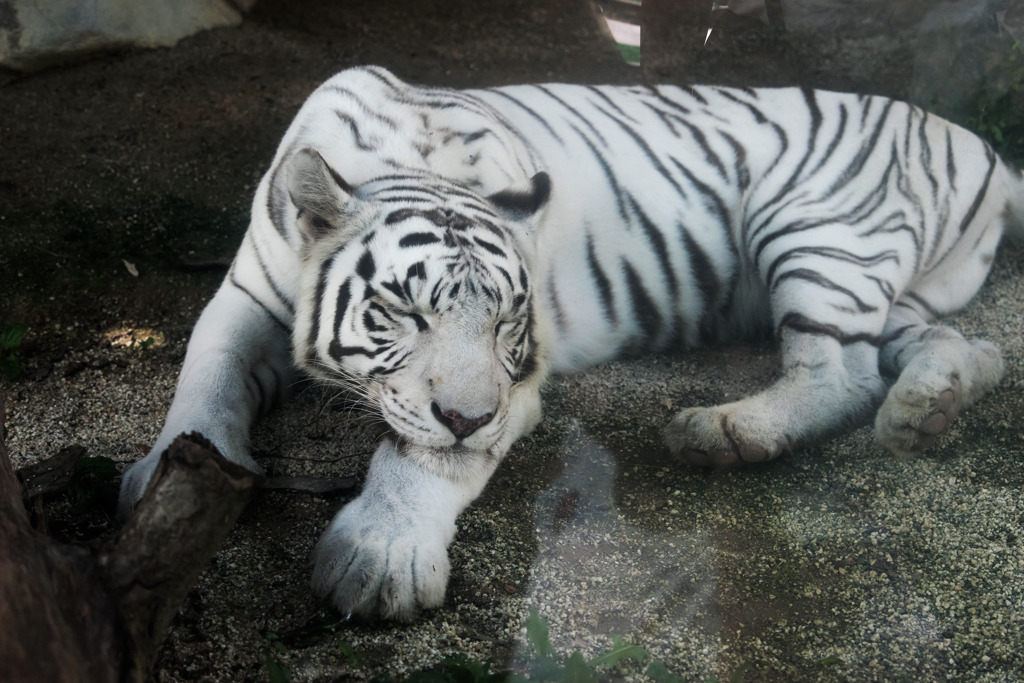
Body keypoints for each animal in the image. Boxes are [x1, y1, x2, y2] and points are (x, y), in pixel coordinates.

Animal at [119, 65, 1023, 622]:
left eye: (504, 323)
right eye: (404, 311)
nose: (469, 414)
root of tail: (980, 143)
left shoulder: (519, 376)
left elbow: (426, 455)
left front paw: (380, 558)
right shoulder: (244, 296)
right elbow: (205, 379)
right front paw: (158, 478)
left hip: (820, 227)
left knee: (843, 371)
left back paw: (722, 432)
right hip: (890, 281)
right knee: (958, 345)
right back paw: (933, 405)